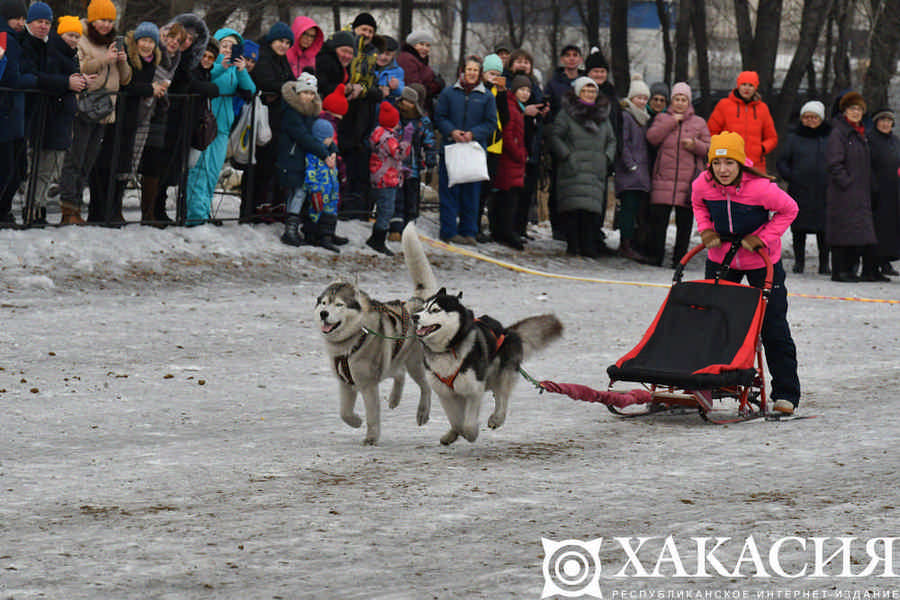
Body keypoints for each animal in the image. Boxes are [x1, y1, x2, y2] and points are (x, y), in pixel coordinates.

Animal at [316, 223, 440, 442]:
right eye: (324, 303)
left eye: (339, 304)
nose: (324, 314)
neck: (352, 340)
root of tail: (418, 303)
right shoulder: (345, 383)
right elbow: (344, 412)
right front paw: (356, 421)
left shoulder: (368, 384)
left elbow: (373, 414)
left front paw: (371, 437)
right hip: (394, 360)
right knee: (399, 374)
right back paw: (394, 398)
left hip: (415, 362)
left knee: (425, 386)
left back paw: (422, 412)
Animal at [408, 278, 564, 442]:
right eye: (422, 308)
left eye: (435, 310)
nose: (414, 316)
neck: (447, 349)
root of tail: (506, 330)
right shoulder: (445, 393)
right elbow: (455, 420)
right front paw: (455, 432)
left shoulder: (474, 389)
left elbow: (468, 423)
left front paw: (471, 433)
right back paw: (452, 434)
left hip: (502, 372)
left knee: (502, 396)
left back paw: (497, 418)